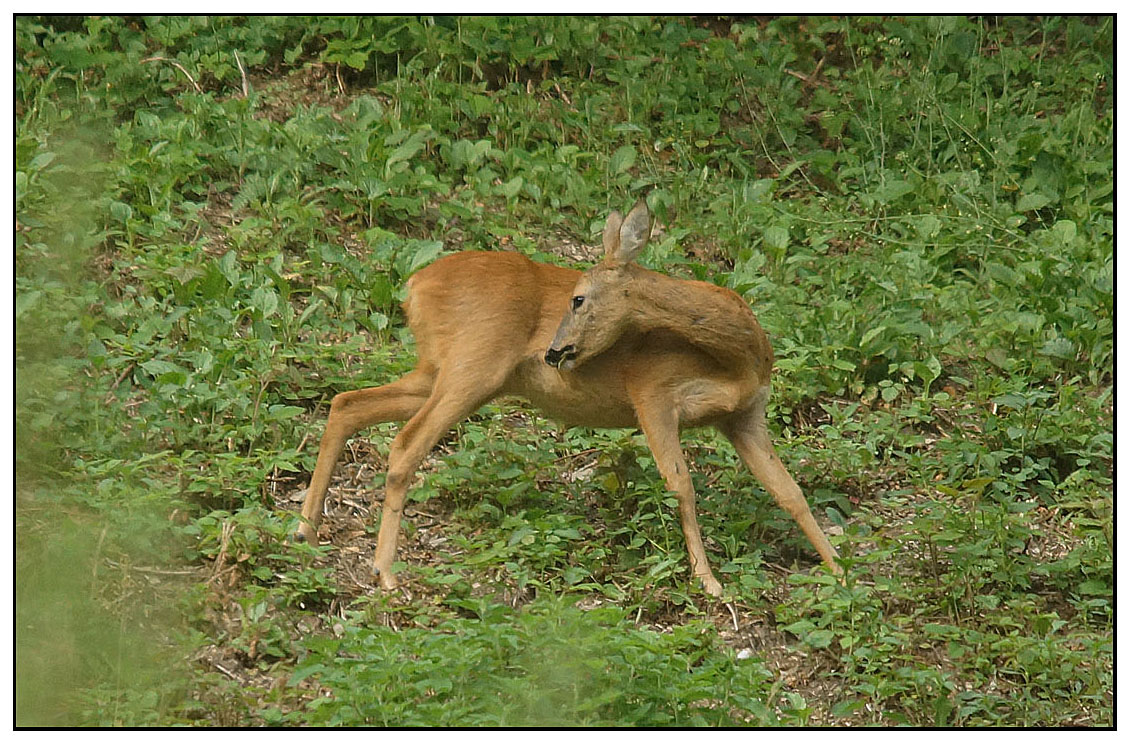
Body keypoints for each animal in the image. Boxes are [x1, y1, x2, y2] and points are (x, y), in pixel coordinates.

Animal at [296, 200, 845, 592]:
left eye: (578, 299)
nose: (554, 352)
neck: (735, 354)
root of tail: (413, 285)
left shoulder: (745, 414)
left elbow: (789, 492)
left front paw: (840, 569)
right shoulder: (653, 394)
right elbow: (682, 486)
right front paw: (708, 581)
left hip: (440, 369)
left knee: (347, 403)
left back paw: (305, 530)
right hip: (472, 365)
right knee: (406, 442)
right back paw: (385, 571)